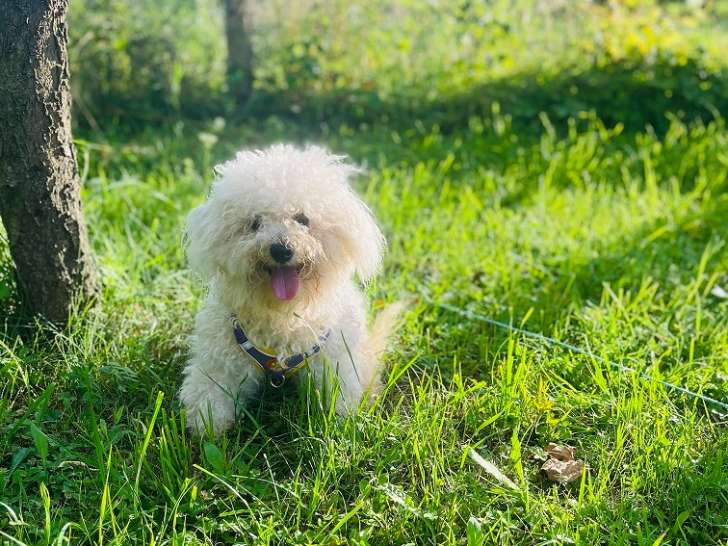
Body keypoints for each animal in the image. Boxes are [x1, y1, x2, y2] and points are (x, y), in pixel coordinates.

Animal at [178, 142, 400, 432]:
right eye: (255, 223)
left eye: (303, 219)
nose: (281, 249)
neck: (282, 313)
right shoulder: (219, 361)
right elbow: (209, 394)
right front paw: (206, 426)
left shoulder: (333, 360)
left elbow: (337, 396)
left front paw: (340, 422)